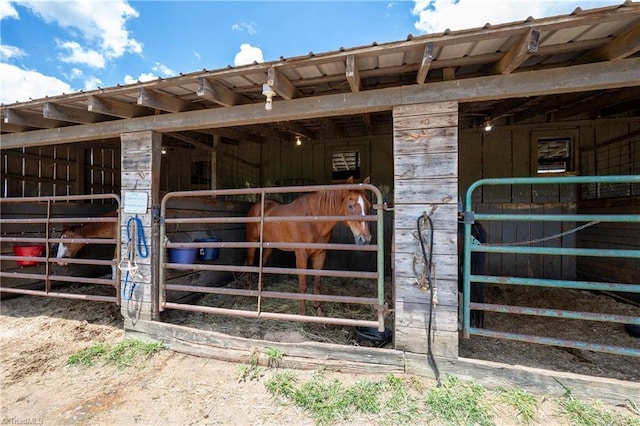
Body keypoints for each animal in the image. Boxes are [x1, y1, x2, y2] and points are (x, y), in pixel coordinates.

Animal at [246, 176, 376, 316]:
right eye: (350, 206)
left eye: (368, 205)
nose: (366, 239)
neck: (313, 220)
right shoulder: (301, 254)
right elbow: (303, 284)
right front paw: (302, 312)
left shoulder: (320, 254)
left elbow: (317, 282)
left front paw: (318, 309)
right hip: (252, 241)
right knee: (250, 261)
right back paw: (250, 289)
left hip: (269, 244)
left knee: (263, 263)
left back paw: (261, 288)